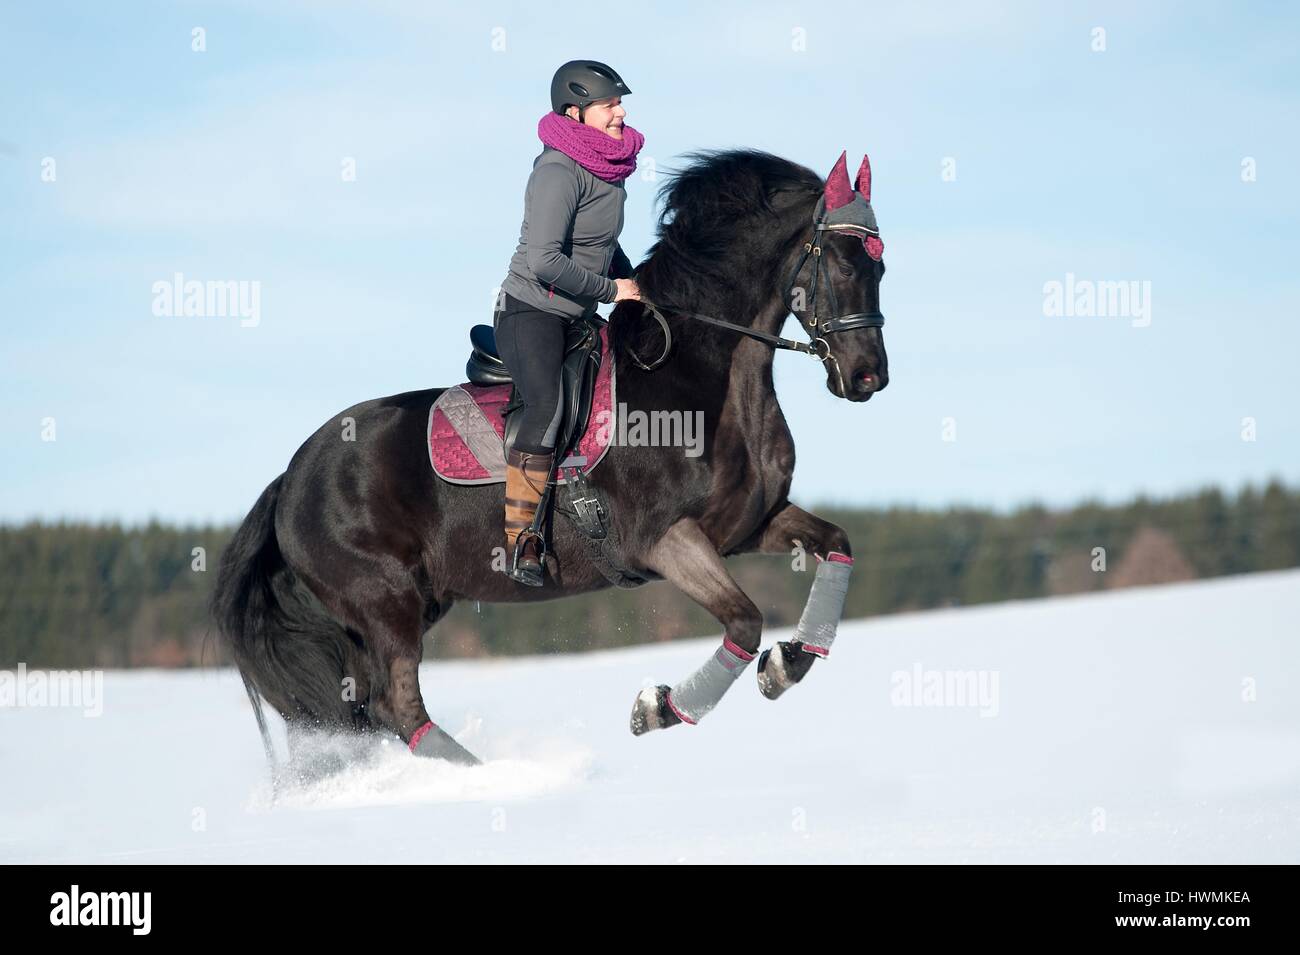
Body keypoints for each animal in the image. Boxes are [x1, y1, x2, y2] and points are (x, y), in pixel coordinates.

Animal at [213, 145, 889, 764]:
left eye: (880, 268)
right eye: (843, 262)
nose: (867, 378)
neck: (705, 380)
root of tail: (290, 477)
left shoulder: (747, 527)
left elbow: (838, 546)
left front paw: (789, 662)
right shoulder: (665, 540)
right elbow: (745, 621)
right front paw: (657, 708)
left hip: (409, 603)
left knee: (367, 707)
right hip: (385, 600)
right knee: (397, 706)